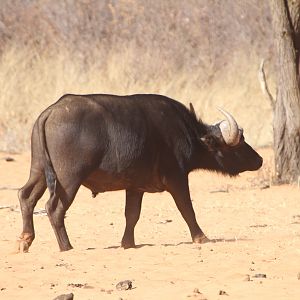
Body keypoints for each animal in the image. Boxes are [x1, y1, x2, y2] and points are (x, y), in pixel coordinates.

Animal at [16, 93, 262, 251]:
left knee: (25, 196)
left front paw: (128, 243)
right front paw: (201, 237)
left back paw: (25, 240)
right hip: (69, 179)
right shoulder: (177, 179)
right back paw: (66, 246)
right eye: (239, 143)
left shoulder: (135, 187)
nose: (259, 160)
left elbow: (132, 215)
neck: (186, 132)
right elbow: (186, 209)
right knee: (54, 208)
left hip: (39, 170)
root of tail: (50, 112)